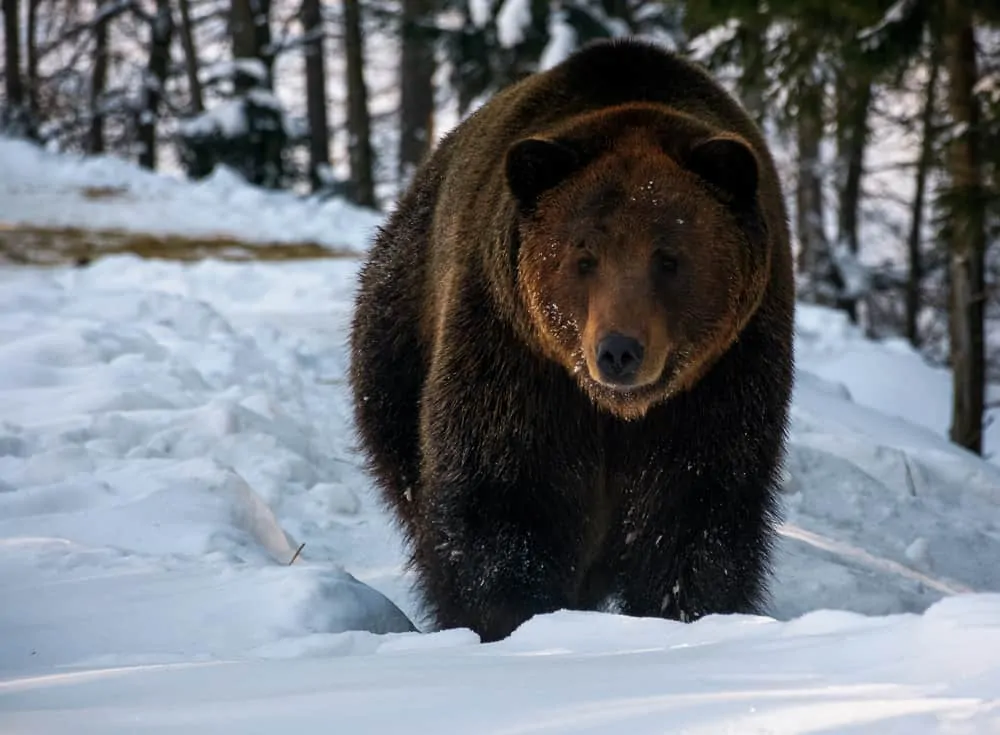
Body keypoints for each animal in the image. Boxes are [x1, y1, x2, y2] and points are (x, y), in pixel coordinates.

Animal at [348, 37, 792, 644]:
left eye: (669, 257)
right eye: (584, 256)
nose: (619, 350)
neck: (618, 412)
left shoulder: (724, 378)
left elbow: (695, 512)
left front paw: (683, 616)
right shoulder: (516, 358)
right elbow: (503, 497)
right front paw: (515, 618)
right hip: (398, 331)